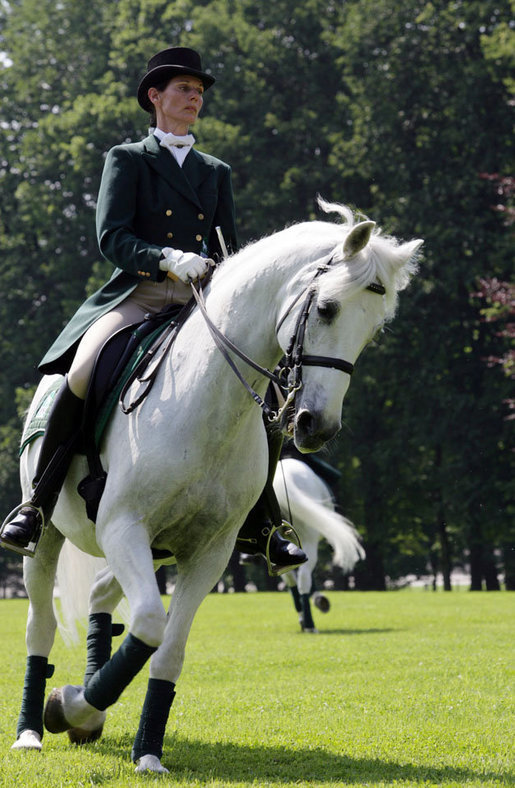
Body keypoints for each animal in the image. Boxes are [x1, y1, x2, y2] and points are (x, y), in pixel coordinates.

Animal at [276, 456, 364, 628]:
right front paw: (319, 600)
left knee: (291, 579)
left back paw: (303, 617)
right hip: (309, 540)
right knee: (303, 578)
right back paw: (309, 624)